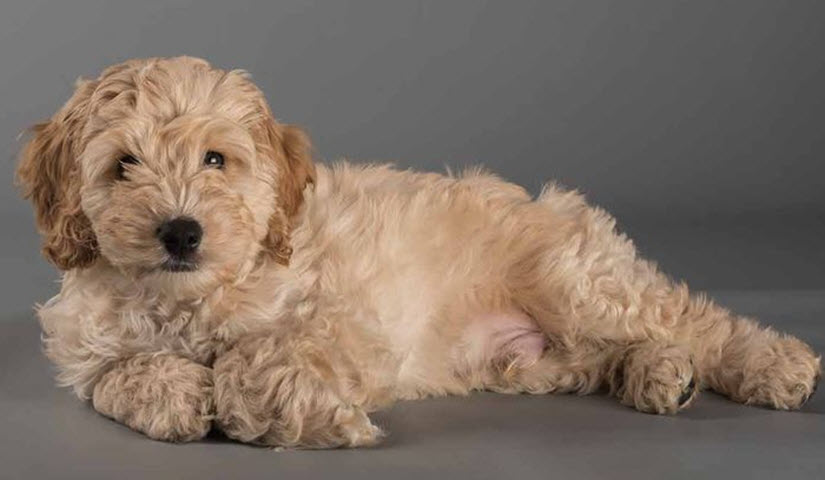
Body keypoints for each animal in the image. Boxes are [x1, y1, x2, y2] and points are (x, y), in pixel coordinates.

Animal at [16, 58, 820, 448]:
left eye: (216, 160)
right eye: (124, 165)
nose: (181, 232)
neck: (186, 298)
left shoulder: (342, 326)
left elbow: (254, 356)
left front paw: (294, 418)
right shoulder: (85, 345)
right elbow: (116, 375)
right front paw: (173, 394)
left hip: (576, 280)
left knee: (692, 320)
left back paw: (772, 365)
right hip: (534, 360)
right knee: (610, 352)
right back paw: (657, 376)